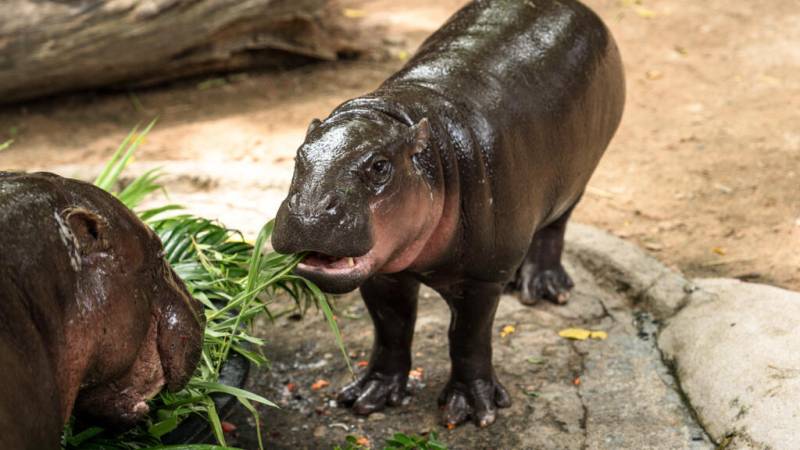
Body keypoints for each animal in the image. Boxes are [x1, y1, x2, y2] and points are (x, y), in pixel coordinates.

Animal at [272, 0, 625, 427]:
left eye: (379, 166)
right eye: (298, 155)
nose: (309, 211)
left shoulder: (481, 279)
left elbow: (468, 338)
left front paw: (472, 410)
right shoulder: (384, 272)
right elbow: (391, 328)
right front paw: (370, 395)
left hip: (576, 181)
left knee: (554, 228)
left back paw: (543, 288)